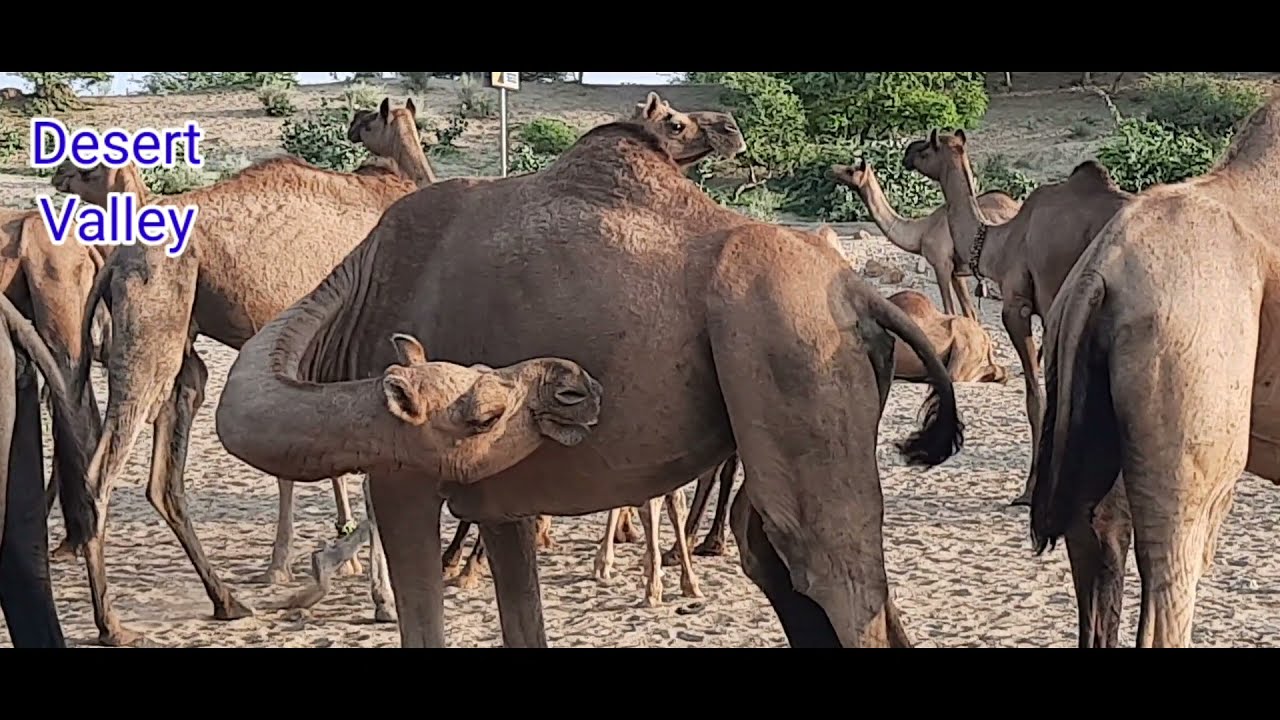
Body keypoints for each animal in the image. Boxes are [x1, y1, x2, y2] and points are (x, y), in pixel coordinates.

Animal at [60, 149, 420, 647]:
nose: (61, 176)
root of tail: (114, 260)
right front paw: (378, 598)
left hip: (183, 360)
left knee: (164, 477)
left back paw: (227, 601)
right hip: (150, 336)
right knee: (102, 473)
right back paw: (111, 624)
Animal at [214, 91, 965, 648]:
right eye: (485, 407)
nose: (575, 386)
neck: (358, 293)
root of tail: (859, 292)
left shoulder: (403, 472)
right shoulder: (498, 493)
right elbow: (521, 615)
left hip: (788, 350)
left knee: (827, 571)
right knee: (781, 557)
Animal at [829, 160, 1022, 321]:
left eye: (850, 170)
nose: (832, 169)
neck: (921, 231)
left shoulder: (941, 264)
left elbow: (949, 311)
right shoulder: (955, 271)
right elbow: (969, 314)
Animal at [903, 130, 1132, 507]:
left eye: (926, 147)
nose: (906, 153)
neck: (1000, 242)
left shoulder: (1017, 307)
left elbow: (1035, 399)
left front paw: (1028, 491)